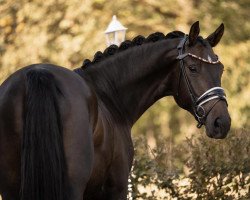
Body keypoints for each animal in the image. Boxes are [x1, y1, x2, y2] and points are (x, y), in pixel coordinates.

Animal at [0, 21, 230, 200]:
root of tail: (37, 74)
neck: (107, 94)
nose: (222, 123)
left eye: (220, 69)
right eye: (193, 68)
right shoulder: (116, 188)